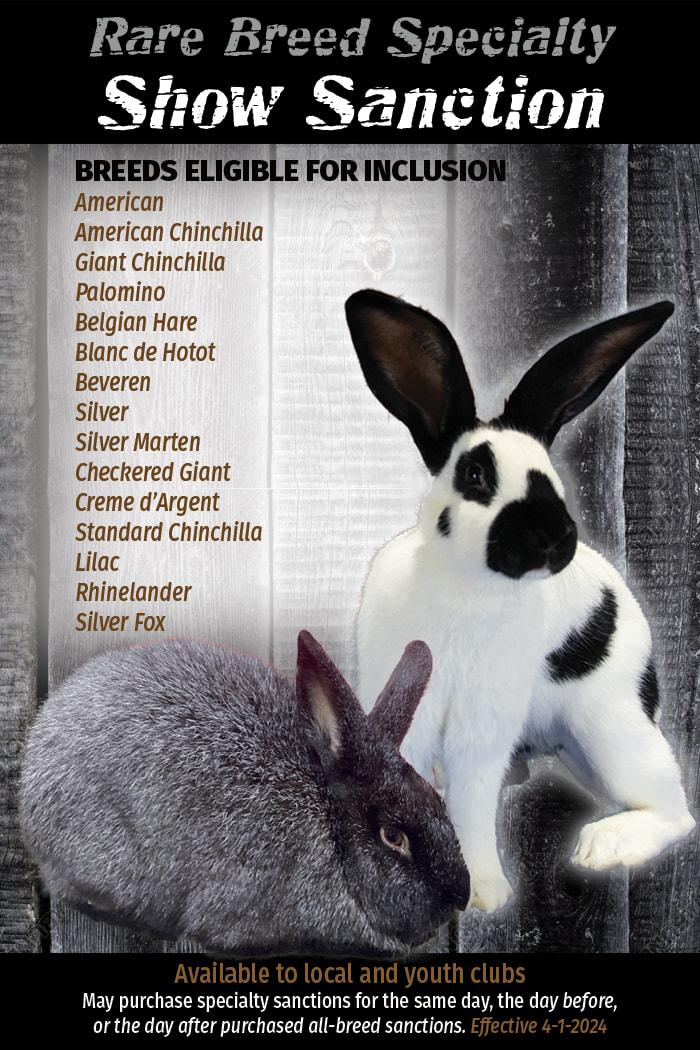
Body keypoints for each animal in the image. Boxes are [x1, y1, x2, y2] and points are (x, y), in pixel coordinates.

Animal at [345, 288, 696, 914]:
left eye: (549, 476)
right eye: (475, 474)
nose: (556, 537)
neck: (466, 589)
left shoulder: (485, 719)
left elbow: (474, 799)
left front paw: (483, 889)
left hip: (611, 730)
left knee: (674, 810)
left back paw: (605, 845)